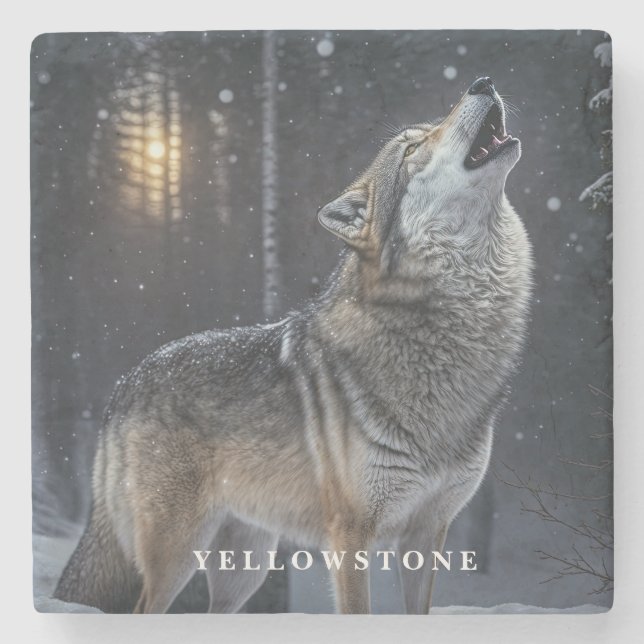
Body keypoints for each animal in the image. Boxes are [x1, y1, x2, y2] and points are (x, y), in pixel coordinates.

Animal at [53, 76, 533, 614]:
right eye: (412, 148)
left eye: (430, 129)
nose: (482, 82)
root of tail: (124, 383)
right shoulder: (351, 535)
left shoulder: (428, 533)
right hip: (178, 554)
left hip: (246, 568)